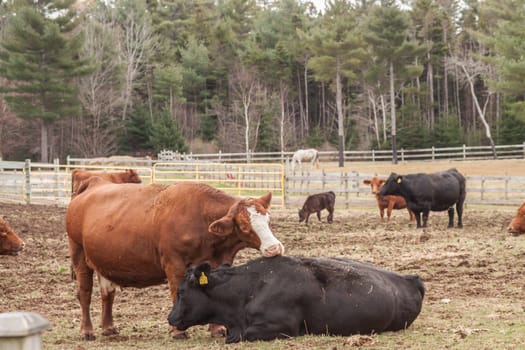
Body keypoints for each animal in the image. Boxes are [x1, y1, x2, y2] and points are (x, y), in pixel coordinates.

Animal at [68, 178, 286, 340]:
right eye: (244, 225)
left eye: (268, 219)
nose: (274, 248)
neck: (201, 219)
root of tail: (94, 184)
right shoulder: (174, 265)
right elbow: (175, 293)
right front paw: (178, 331)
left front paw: (217, 329)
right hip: (79, 255)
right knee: (85, 294)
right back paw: (87, 331)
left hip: (103, 262)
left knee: (107, 294)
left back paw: (108, 327)